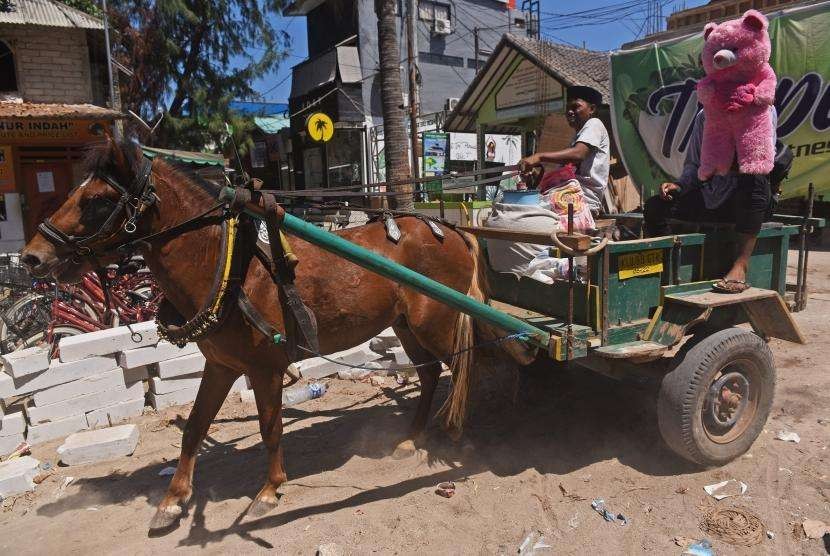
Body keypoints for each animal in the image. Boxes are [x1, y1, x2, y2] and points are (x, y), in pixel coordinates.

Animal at [21, 138, 532, 528]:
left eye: (96, 201)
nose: (31, 257)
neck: (229, 265)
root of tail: (451, 228)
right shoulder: (221, 365)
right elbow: (195, 429)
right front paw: (173, 499)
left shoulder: (265, 368)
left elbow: (270, 428)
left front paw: (268, 491)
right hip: (406, 324)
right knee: (428, 374)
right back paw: (412, 437)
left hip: (439, 322)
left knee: (467, 366)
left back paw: (457, 433)